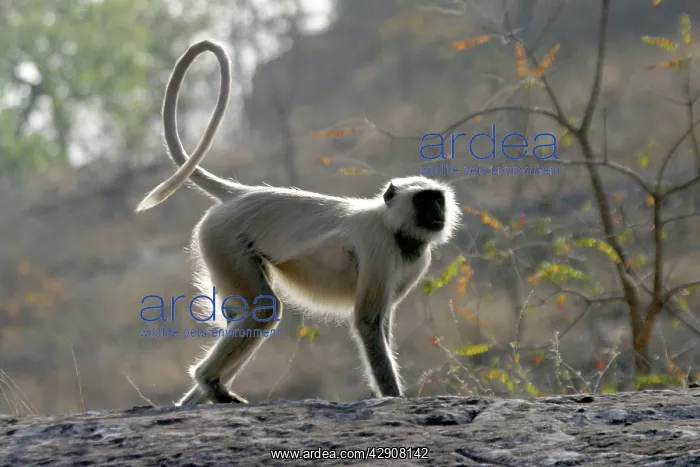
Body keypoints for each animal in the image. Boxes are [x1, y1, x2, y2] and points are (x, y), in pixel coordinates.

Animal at [136, 39, 461, 406]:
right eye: (424, 200)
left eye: (437, 199)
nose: (436, 212)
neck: (394, 227)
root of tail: (240, 194)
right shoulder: (378, 244)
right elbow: (367, 323)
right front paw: (392, 397)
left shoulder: (417, 259)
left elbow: (382, 322)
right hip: (223, 238)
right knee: (261, 310)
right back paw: (210, 384)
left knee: (241, 315)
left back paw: (197, 398)